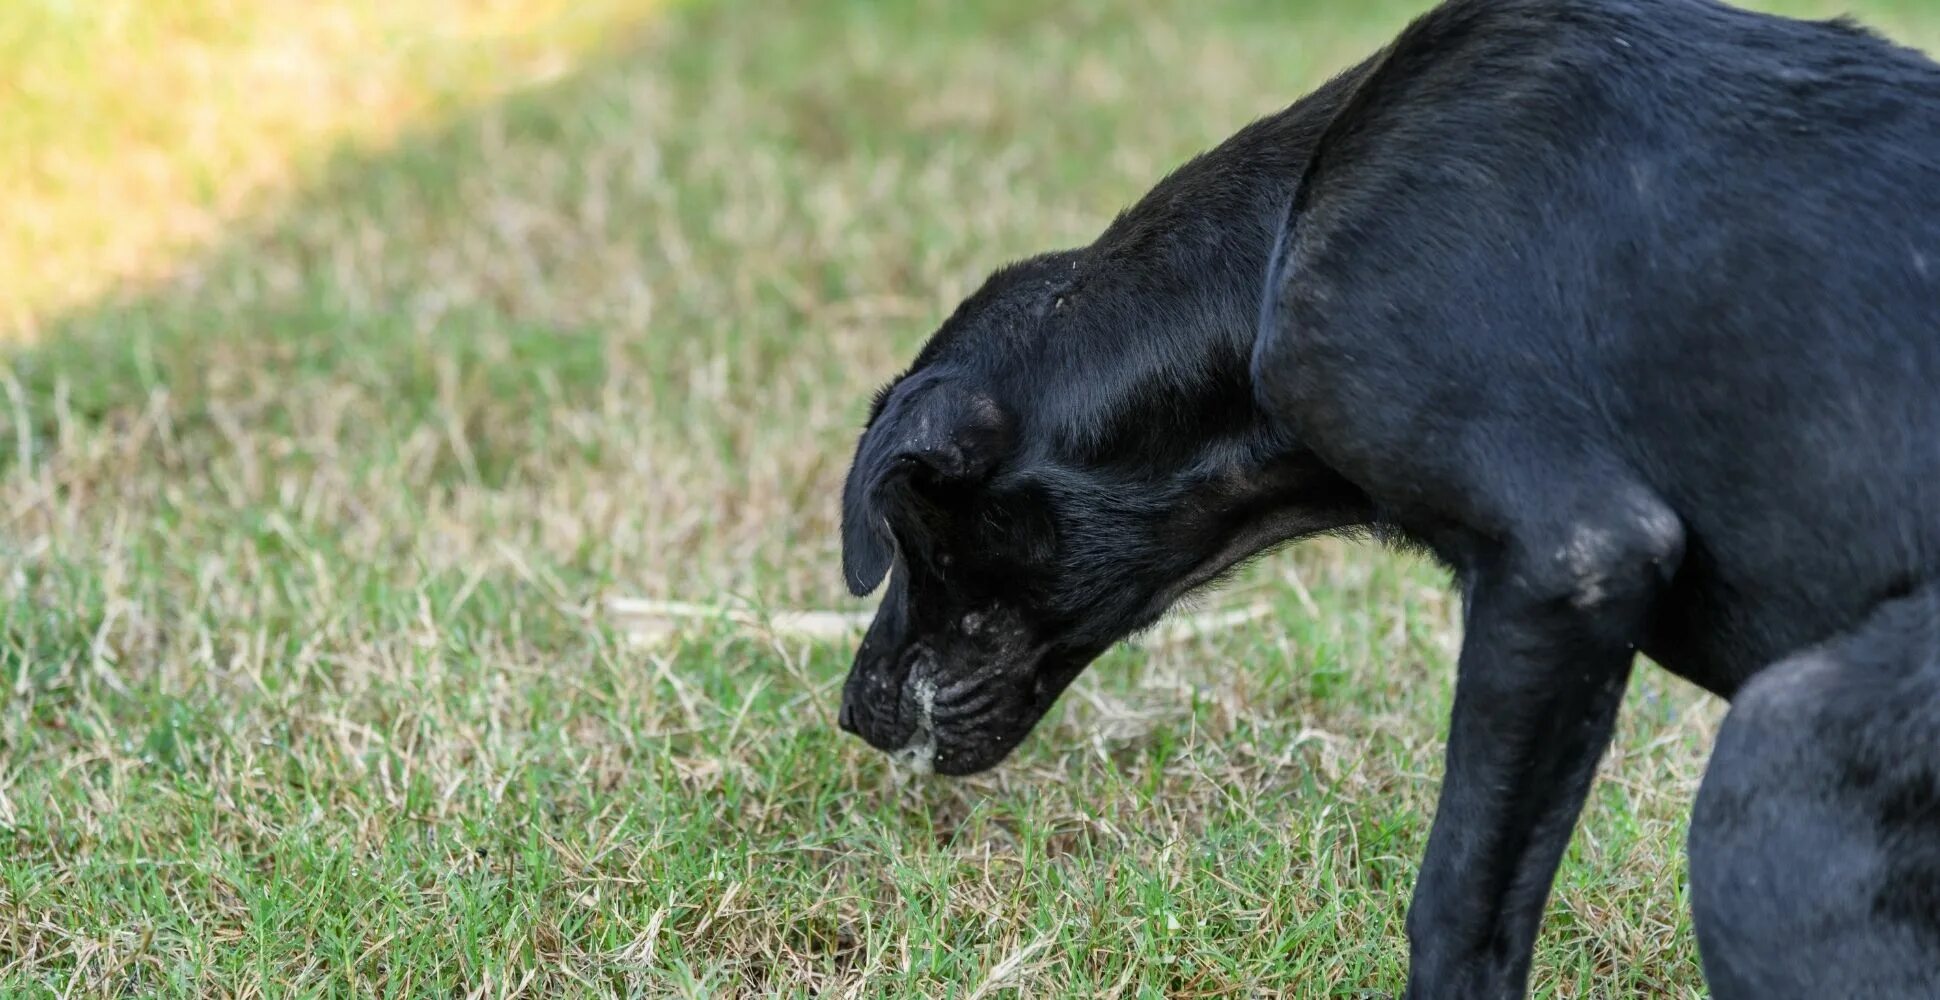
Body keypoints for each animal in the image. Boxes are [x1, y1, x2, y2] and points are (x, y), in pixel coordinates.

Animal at [841, 1, 1940, 994]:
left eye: (913, 533)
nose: (853, 710)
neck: (1279, 243)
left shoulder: (1570, 562)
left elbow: (1457, 910)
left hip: (1776, 755)